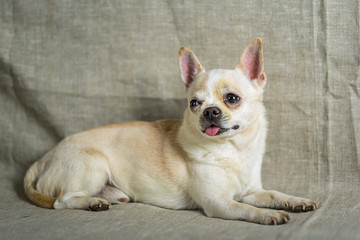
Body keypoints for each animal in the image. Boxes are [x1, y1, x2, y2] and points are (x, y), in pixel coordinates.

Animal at [24, 38, 318, 224]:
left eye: (232, 98)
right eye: (194, 104)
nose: (209, 111)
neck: (232, 150)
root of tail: (43, 159)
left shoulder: (252, 191)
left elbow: (274, 194)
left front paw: (295, 201)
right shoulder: (220, 203)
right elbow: (245, 209)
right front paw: (268, 215)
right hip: (92, 166)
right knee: (62, 200)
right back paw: (91, 203)